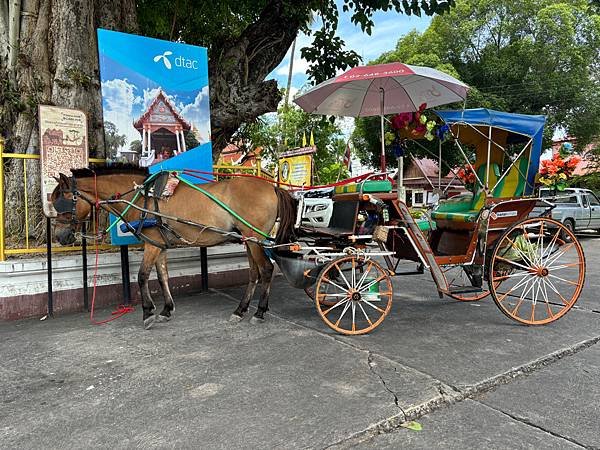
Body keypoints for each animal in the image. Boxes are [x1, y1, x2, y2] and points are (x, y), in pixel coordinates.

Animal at [51, 167, 298, 328]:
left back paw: (259, 311)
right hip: (248, 239)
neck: (140, 197)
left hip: (254, 237)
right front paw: (166, 310)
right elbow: (163, 277)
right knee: (254, 273)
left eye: (63, 201)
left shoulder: (151, 244)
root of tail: (272, 188)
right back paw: (241, 310)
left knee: (266, 269)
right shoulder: (159, 244)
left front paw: (147, 312)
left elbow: (142, 276)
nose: (60, 236)